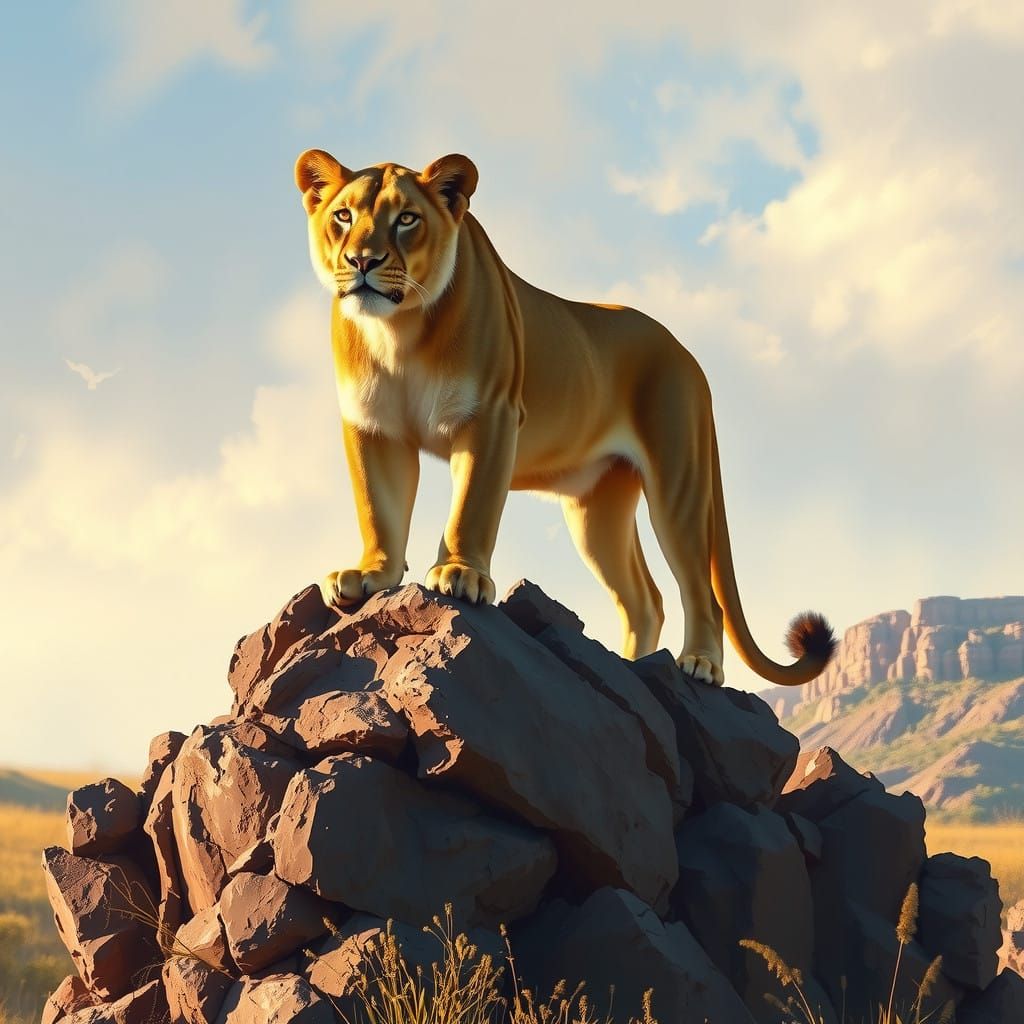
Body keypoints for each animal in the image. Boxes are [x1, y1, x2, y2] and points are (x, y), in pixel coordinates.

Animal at [294, 149, 835, 687]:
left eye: (406, 219)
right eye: (343, 217)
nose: (362, 261)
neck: (398, 331)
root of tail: (688, 356)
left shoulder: (491, 415)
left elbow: (470, 507)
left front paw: (460, 574)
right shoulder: (372, 427)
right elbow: (378, 509)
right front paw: (371, 575)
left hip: (678, 479)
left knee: (700, 590)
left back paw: (699, 665)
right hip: (596, 507)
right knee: (645, 600)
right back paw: (631, 666)